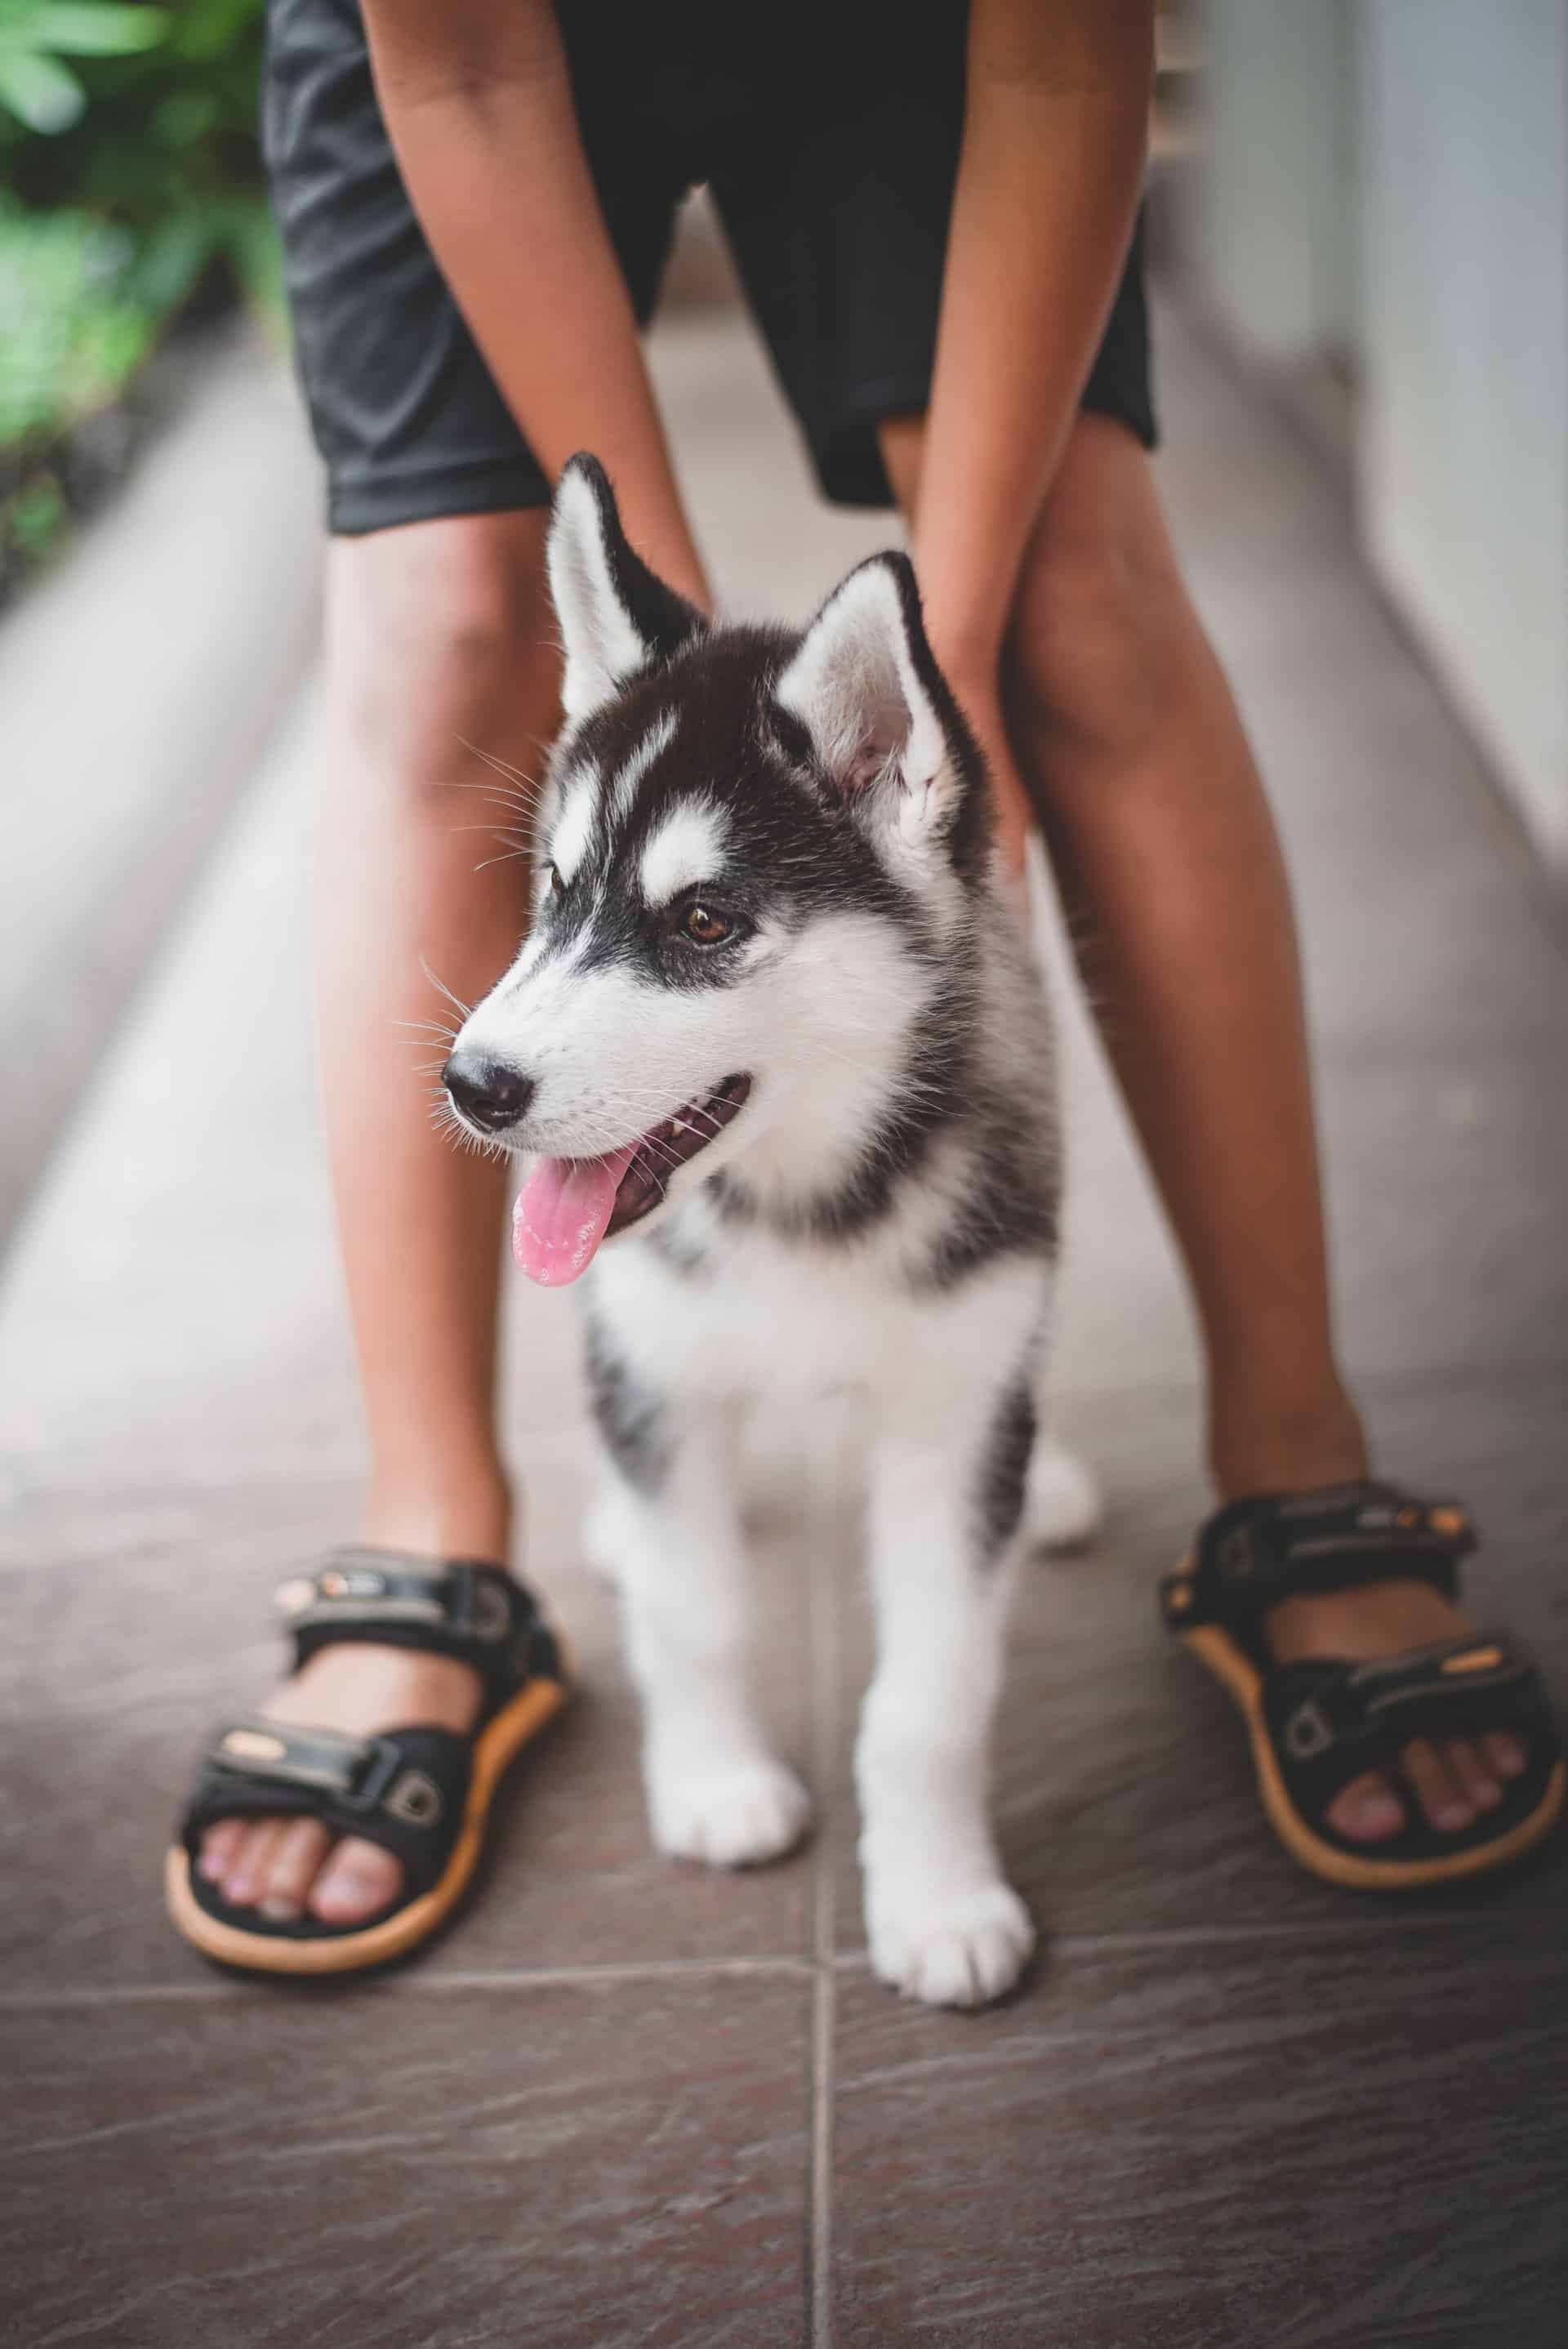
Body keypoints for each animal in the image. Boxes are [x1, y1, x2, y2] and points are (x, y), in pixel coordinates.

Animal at [446, 462, 1098, 2020]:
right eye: (555, 887)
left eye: (700, 920)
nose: (473, 1084)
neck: (799, 1199)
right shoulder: (658, 1363)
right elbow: (697, 1617)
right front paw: (716, 1786)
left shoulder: (951, 1411)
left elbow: (930, 1696)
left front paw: (939, 1900)